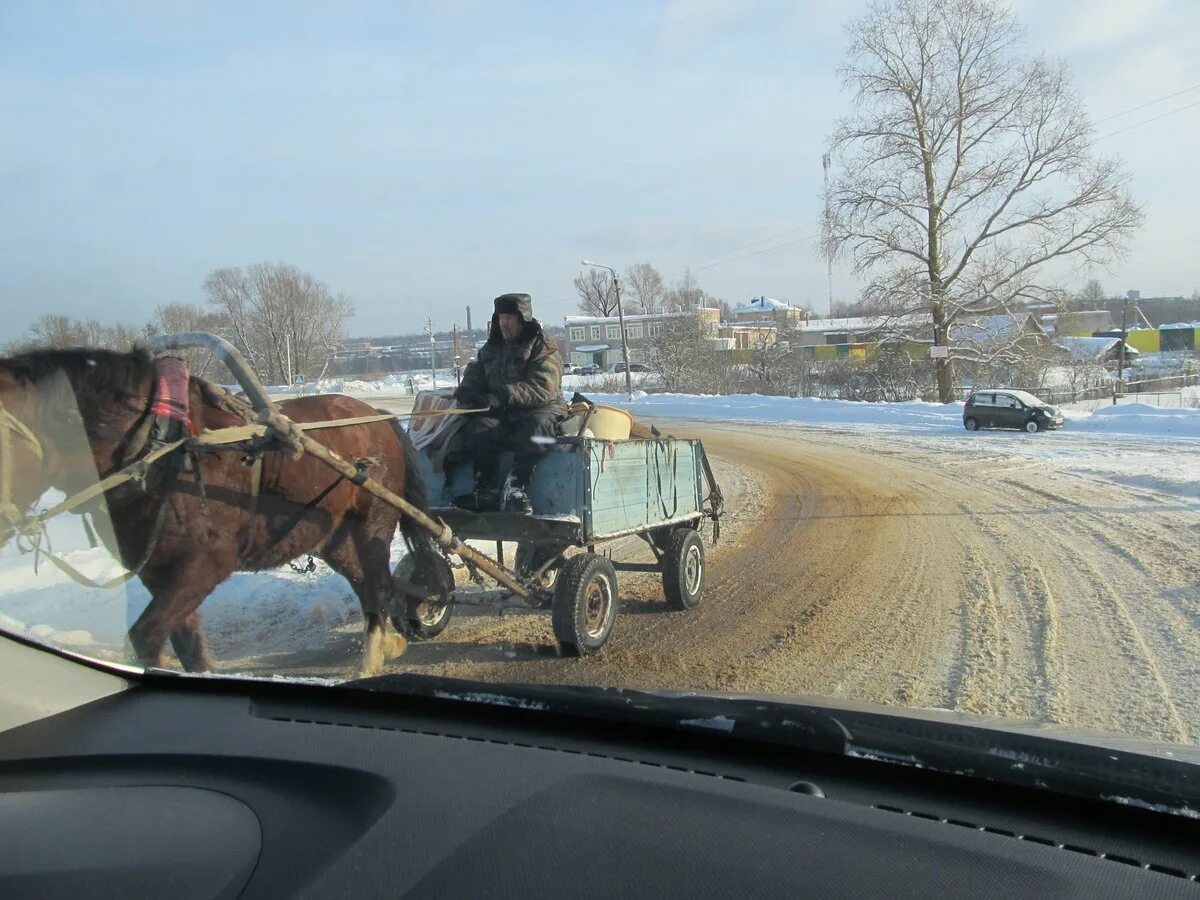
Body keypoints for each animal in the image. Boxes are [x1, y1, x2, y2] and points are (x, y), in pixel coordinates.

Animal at [0, 345, 451, 676]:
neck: (158, 449)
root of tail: (379, 416)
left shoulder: (205, 563)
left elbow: (147, 636)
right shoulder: (159, 573)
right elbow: (184, 644)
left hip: (372, 524)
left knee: (377, 585)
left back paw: (374, 657)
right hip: (333, 537)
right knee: (370, 584)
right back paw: (389, 642)